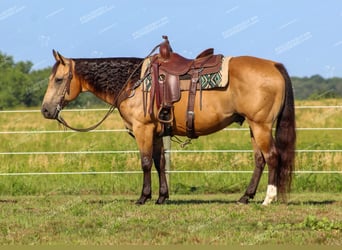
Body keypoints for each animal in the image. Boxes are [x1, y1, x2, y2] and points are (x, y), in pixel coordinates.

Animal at [41, 36, 296, 205]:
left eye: (59, 79)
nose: (45, 110)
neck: (133, 82)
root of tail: (274, 65)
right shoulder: (156, 132)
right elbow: (159, 163)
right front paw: (162, 197)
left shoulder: (143, 129)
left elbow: (145, 162)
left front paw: (143, 197)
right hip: (254, 126)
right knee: (259, 160)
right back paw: (245, 197)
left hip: (261, 126)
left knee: (272, 157)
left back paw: (268, 198)